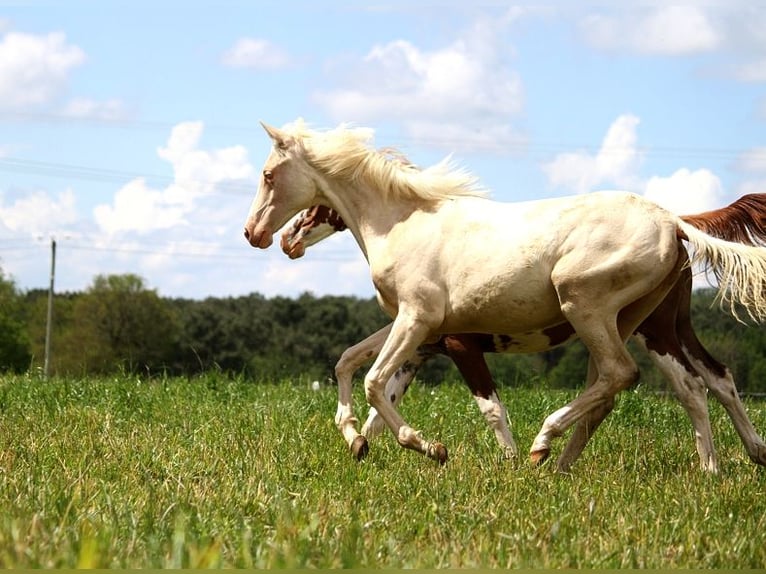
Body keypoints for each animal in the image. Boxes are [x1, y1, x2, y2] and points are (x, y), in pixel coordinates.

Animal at [244, 120, 766, 468]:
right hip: (633, 321)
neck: (400, 223)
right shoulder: (418, 329)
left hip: (588, 306)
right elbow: (349, 364)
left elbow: (379, 382)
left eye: (269, 175)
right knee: (691, 381)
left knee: (625, 376)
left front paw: (432, 447)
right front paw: (358, 440)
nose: (260, 235)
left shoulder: (420, 322)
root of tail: (672, 221)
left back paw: (545, 445)